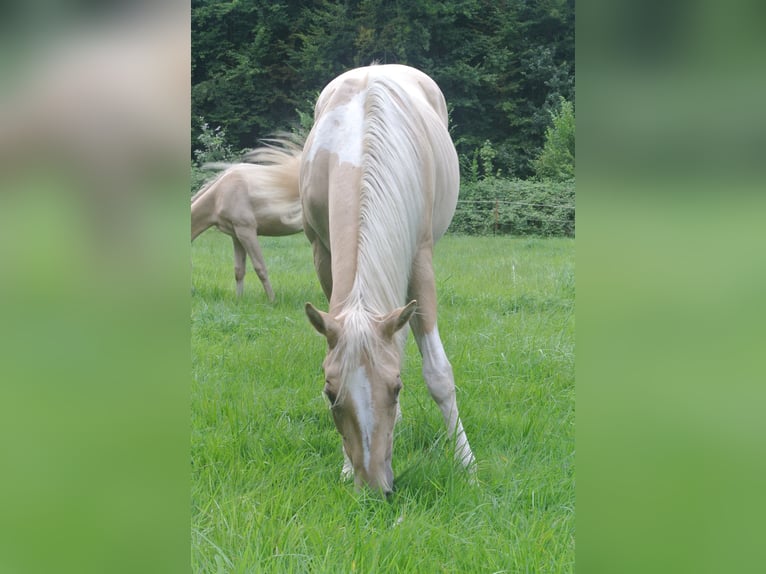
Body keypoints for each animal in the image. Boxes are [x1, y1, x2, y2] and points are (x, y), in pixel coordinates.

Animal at [190, 143, 304, 302]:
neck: (220, 193)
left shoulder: (247, 231)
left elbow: (260, 268)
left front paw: (272, 301)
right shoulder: (236, 235)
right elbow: (239, 270)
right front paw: (239, 300)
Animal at [304, 63, 476, 496]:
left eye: (396, 388)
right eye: (330, 393)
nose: (373, 490)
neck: (355, 149)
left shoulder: (420, 262)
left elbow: (438, 374)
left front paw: (467, 465)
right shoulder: (323, 255)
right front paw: (345, 467)